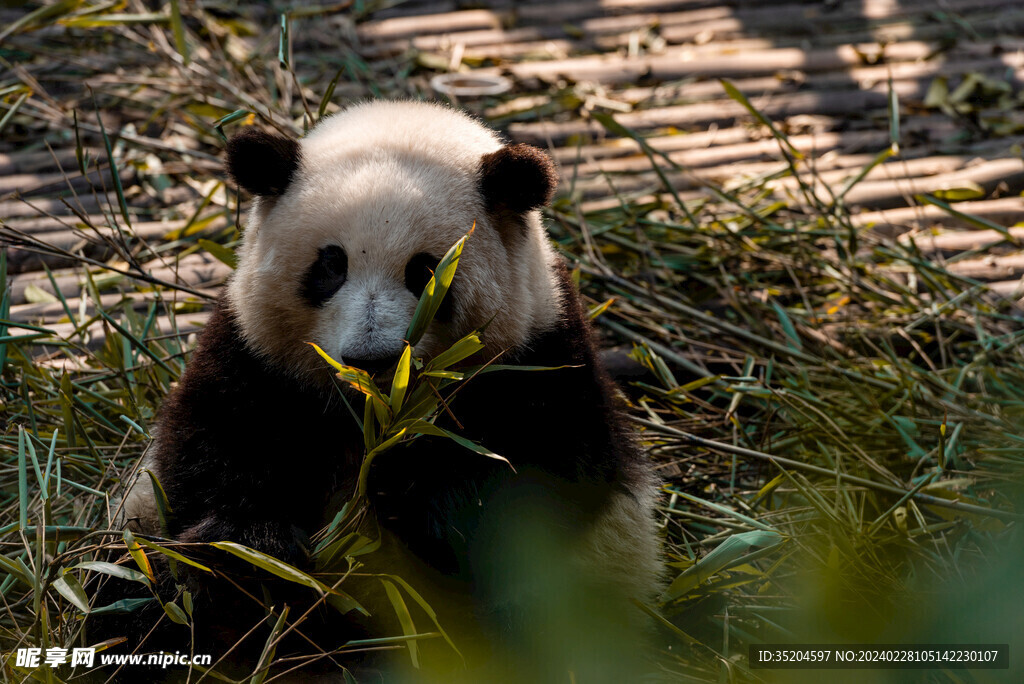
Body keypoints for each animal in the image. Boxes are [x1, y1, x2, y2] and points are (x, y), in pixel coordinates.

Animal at [110, 98, 663, 679]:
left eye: (425, 271)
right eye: (331, 265)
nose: (371, 358)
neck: (374, 412)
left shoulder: (537, 356)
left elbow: (534, 486)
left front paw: (402, 506)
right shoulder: (254, 357)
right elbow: (205, 461)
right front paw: (252, 559)